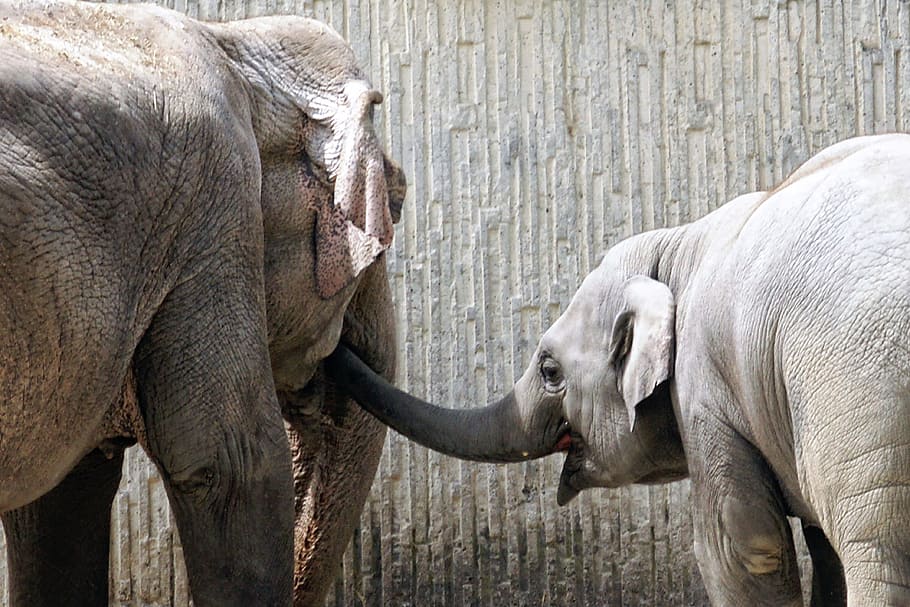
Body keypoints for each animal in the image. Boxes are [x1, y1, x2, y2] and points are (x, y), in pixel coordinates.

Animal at [324, 134, 910, 605]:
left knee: (876, 552)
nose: (336, 344)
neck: (678, 243)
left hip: (856, 393)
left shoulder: (707, 388)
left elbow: (741, 548)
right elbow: (819, 552)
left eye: (549, 370)